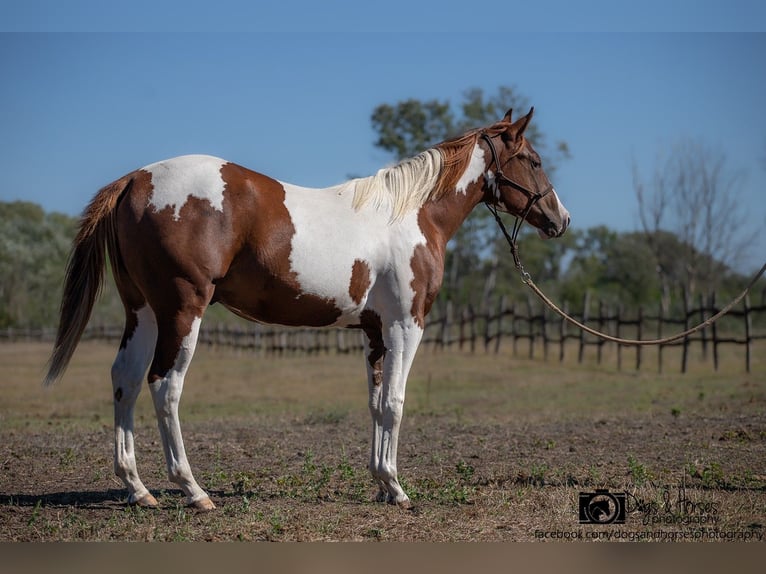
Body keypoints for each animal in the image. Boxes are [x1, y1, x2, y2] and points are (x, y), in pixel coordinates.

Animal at [44, 108, 569, 510]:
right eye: (534, 160)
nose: (560, 219)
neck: (411, 215)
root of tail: (135, 178)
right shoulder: (406, 327)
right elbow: (396, 404)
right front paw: (398, 489)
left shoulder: (375, 333)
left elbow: (376, 404)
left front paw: (381, 483)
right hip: (182, 310)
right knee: (164, 386)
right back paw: (193, 491)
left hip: (145, 312)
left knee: (125, 380)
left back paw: (137, 489)